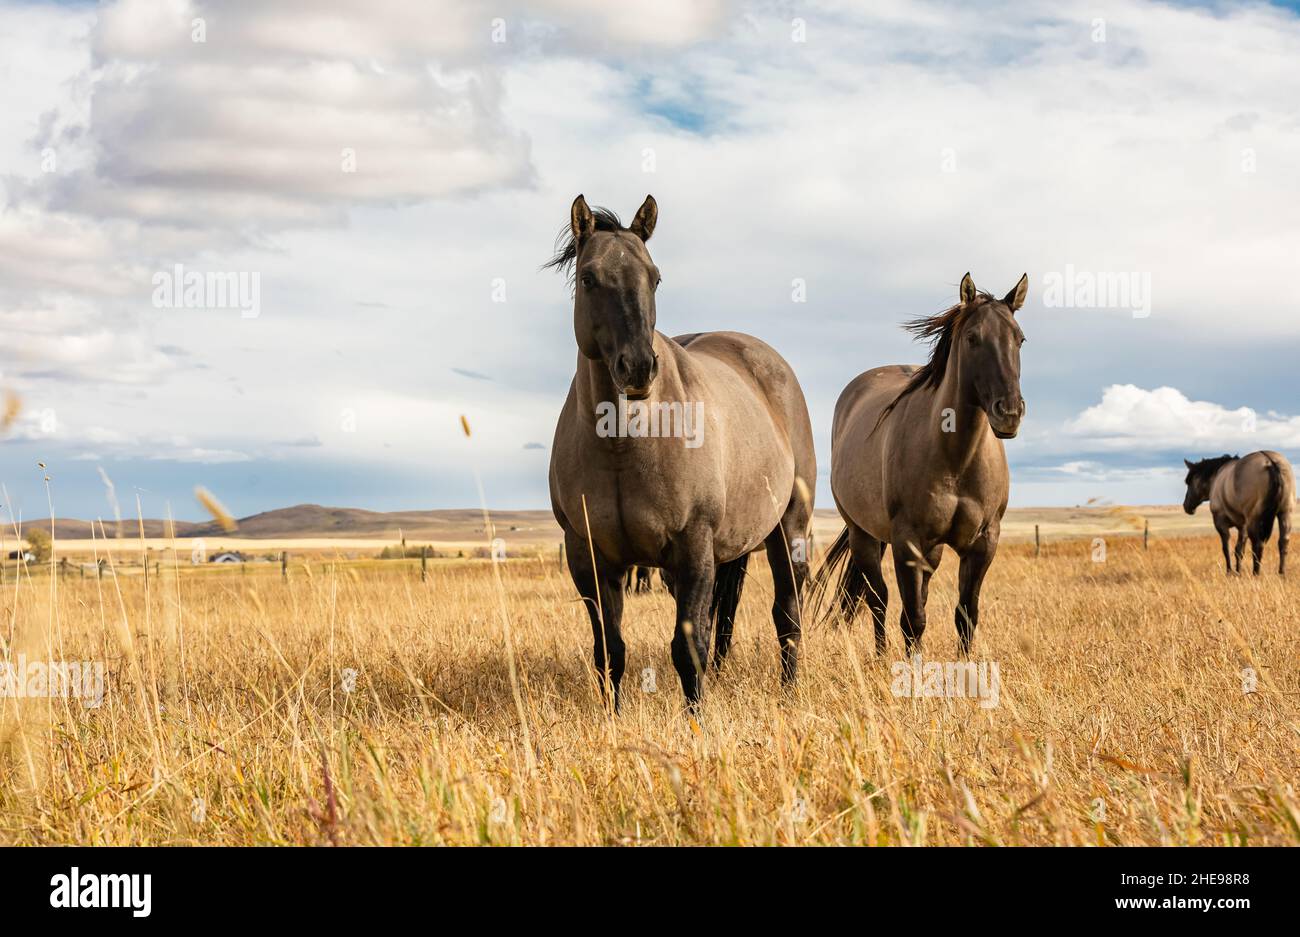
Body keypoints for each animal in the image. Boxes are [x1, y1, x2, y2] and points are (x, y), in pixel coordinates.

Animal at [547, 194, 816, 708]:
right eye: (589, 278)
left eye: (654, 277)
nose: (637, 367)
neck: (622, 445)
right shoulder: (589, 557)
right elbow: (610, 650)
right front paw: (613, 718)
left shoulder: (693, 548)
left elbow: (687, 649)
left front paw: (697, 719)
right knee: (723, 618)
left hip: (787, 527)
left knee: (786, 615)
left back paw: (791, 693)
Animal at [812, 272, 1027, 657]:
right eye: (973, 338)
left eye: (1019, 339)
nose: (1010, 412)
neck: (956, 459)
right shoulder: (907, 543)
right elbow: (912, 619)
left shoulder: (983, 544)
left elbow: (965, 615)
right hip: (862, 535)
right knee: (878, 598)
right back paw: (881, 656)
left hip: (932, 549)